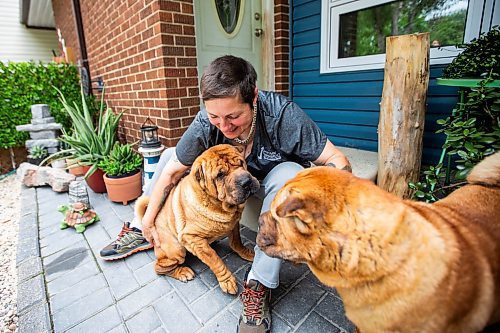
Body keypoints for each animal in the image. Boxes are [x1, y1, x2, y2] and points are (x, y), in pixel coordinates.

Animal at [137, 145, 262, 294]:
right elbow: (214, 259)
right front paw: (227, 281)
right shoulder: (192, 238)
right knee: (160, 267)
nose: (246, 181)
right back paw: (182, 272)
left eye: (241, 163)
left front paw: (246, 253)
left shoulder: (234, 224)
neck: (220, 206)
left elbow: (237, 241)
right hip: (177, 249)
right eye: (220, 175)